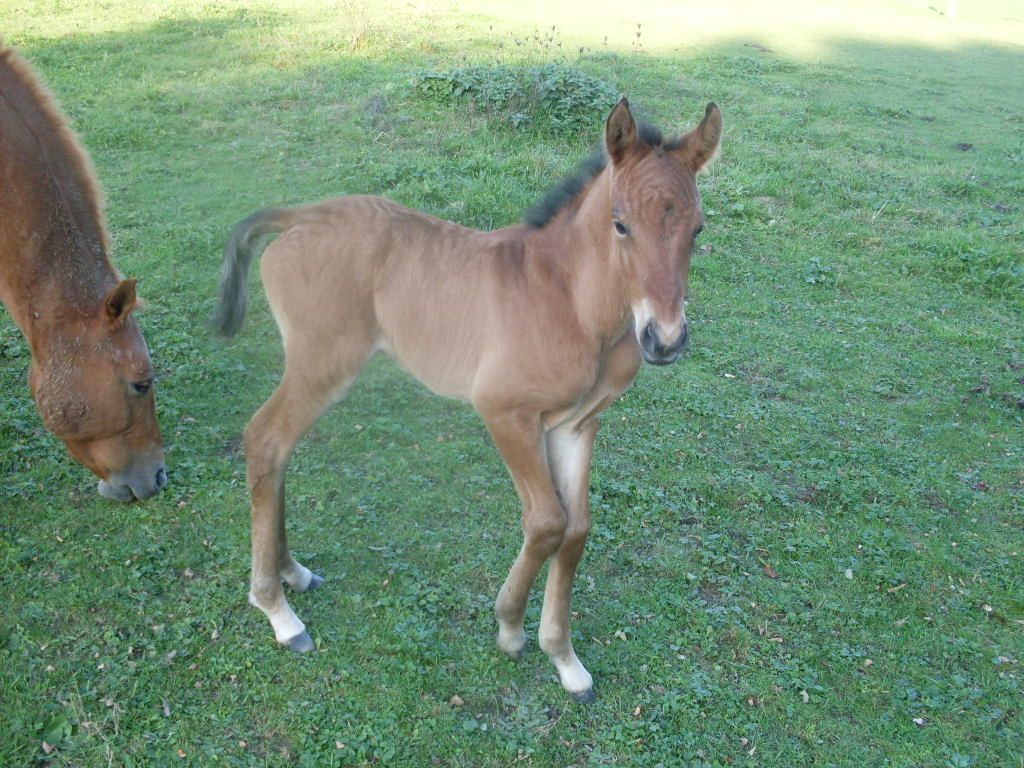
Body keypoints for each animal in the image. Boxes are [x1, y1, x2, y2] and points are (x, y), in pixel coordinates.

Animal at [213, 98, 721, 702]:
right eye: (620, 224)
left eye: (697, 228)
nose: (664, 340)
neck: (572, 303)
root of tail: (300, 215)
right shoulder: (505, 412)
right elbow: (546, 522)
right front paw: (510, 629)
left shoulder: (577, 424)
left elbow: (576, 530)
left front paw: (565, 659)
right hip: (322, 367)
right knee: (265, 441)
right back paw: (279, 612)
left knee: (278, 455)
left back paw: (293, 573)